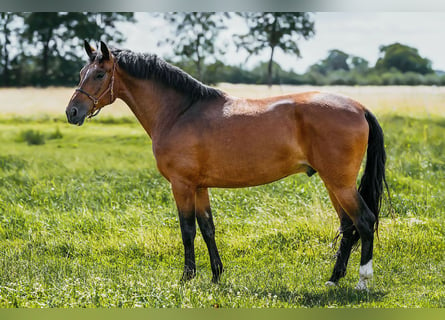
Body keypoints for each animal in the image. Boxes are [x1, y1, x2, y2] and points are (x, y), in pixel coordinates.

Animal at [64, 41, 386, 292]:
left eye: (100, 74)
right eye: (81, 73)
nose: (72, 112)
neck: (180, 112)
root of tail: (359, 107)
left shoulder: (182, 185)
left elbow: (187, 230)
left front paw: (186, 278)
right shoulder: (200, 186)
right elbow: (208, 228)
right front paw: (217, 276)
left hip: (340, 184)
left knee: (364, 221)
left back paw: (362, 281)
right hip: (333, 184)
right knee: (348, 226)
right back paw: (333, 280)